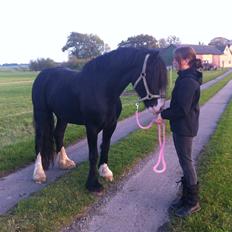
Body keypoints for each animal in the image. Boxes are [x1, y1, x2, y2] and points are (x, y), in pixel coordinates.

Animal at [32, 46, 167, 192]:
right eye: (149, 74)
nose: (159, 107)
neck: (102, 89)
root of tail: (43, 74)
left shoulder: (111, 125)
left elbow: (106, 146)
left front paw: (105, 171)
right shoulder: (91, 127)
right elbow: (93, 154)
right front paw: (93, 184)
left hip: (63, 115)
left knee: (58, 134)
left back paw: (64, 162)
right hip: (41, 113)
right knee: (39, 139)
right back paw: (39, 174)